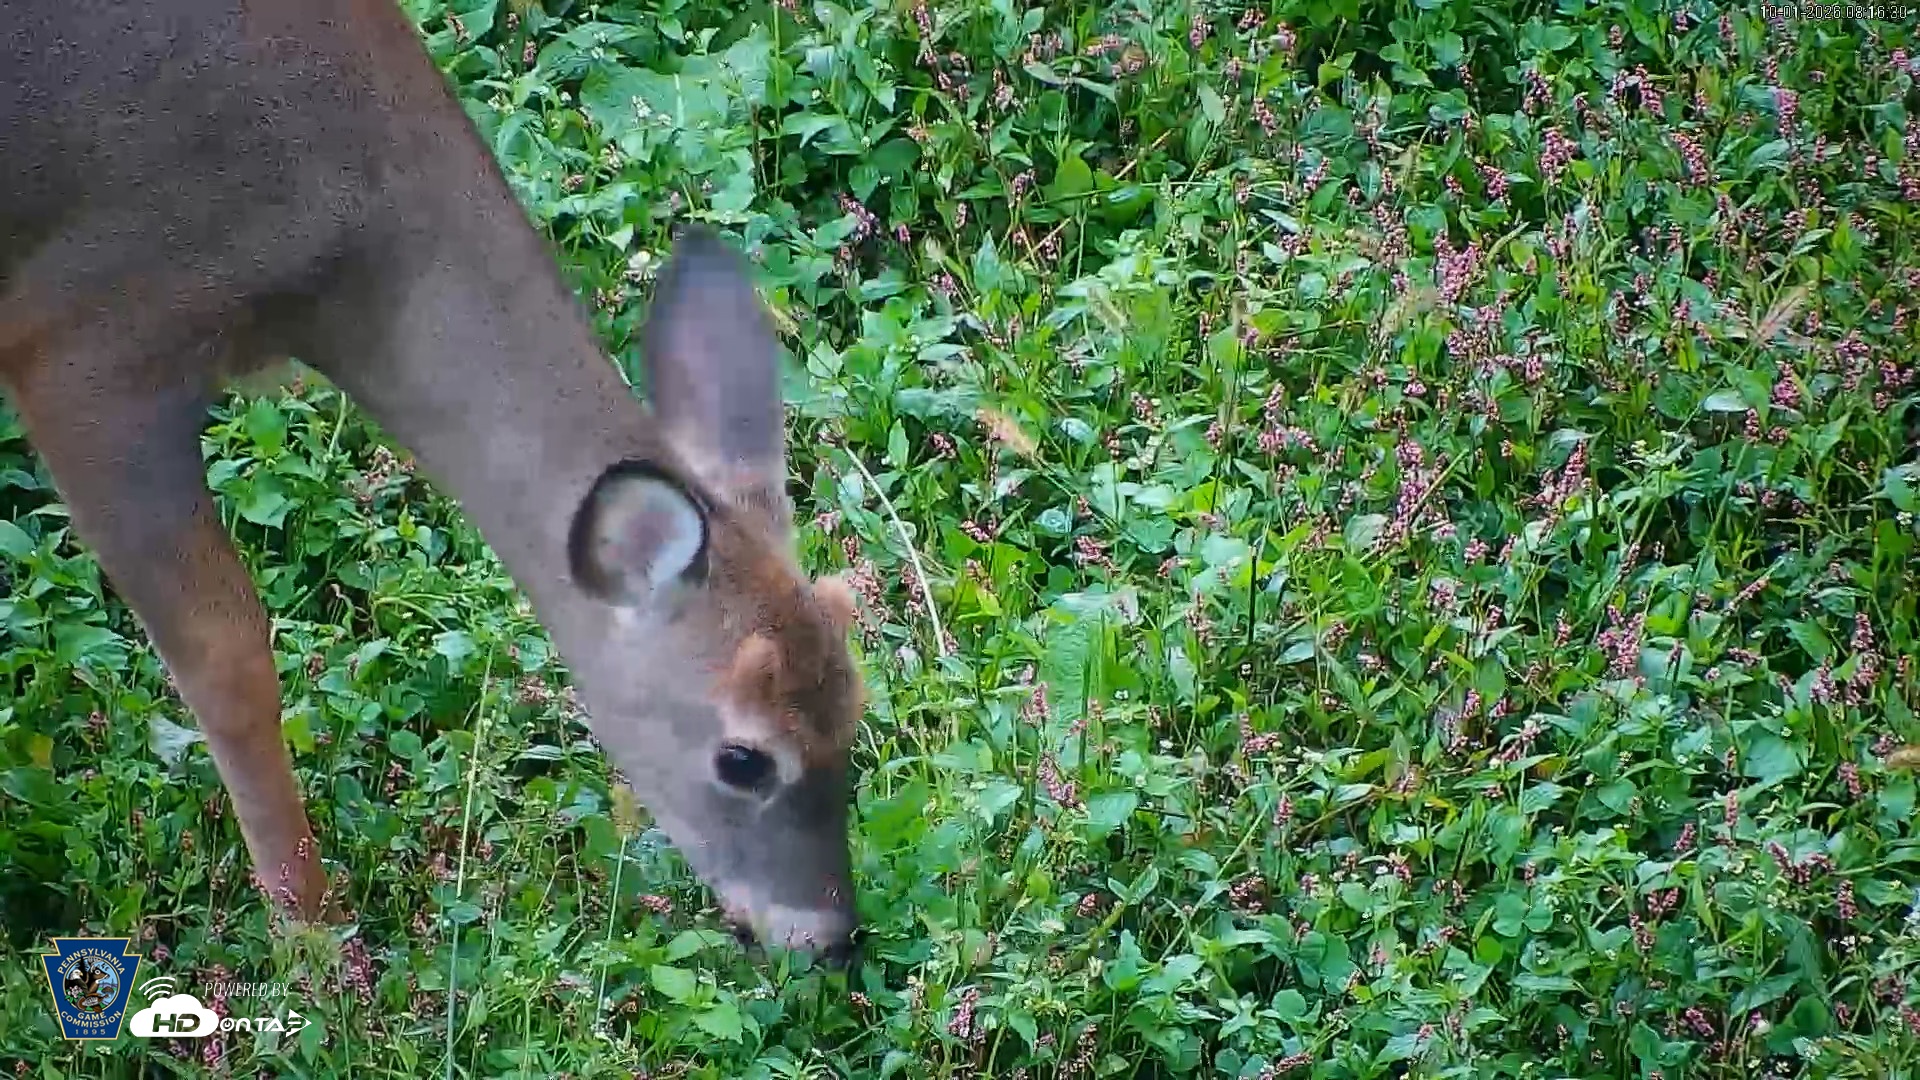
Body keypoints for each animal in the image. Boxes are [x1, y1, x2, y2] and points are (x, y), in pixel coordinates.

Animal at [1, 0, 866, 964]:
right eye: (742, 757)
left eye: (855, 709)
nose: (832, 935)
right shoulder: (84, 350)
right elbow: (226, 654)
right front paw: (312, 937)